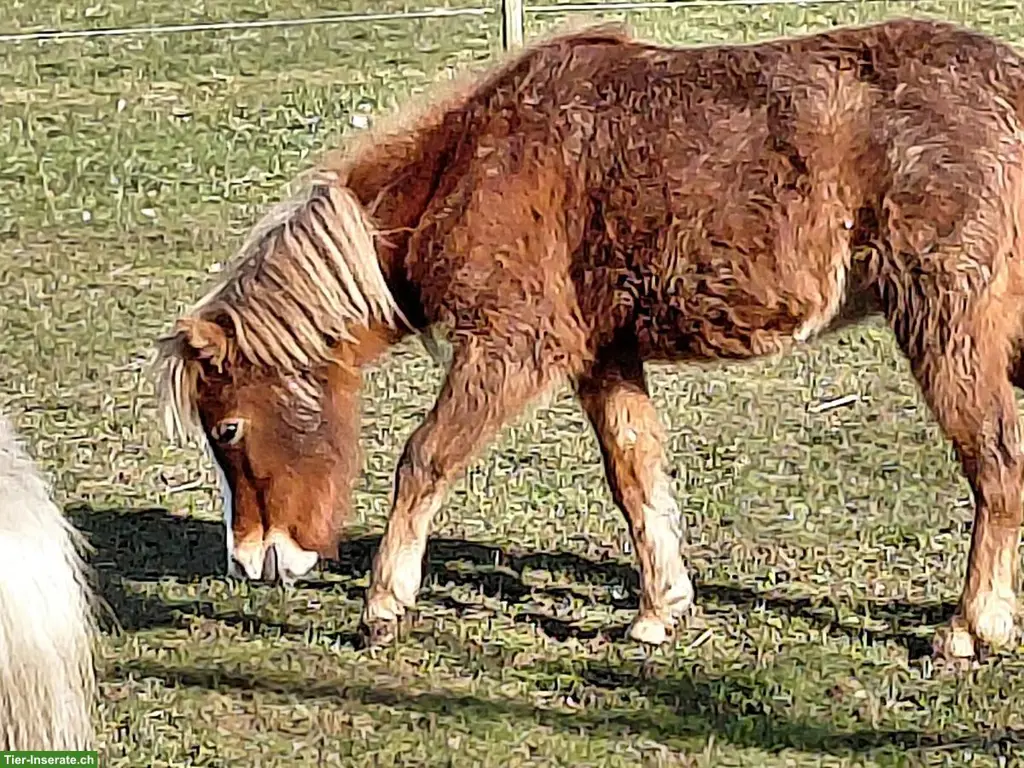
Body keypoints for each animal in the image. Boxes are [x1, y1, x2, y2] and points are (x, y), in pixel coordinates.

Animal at [155, 17, 1024, 659]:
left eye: (228, 429)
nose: (254, 562)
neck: (473, 157)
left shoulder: (511, 348)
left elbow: (425, 459)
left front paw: (382, 607)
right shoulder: (603, 357)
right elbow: (635, 475)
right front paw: (659, 611)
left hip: (947, 326)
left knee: (995, 462)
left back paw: (968, 628)